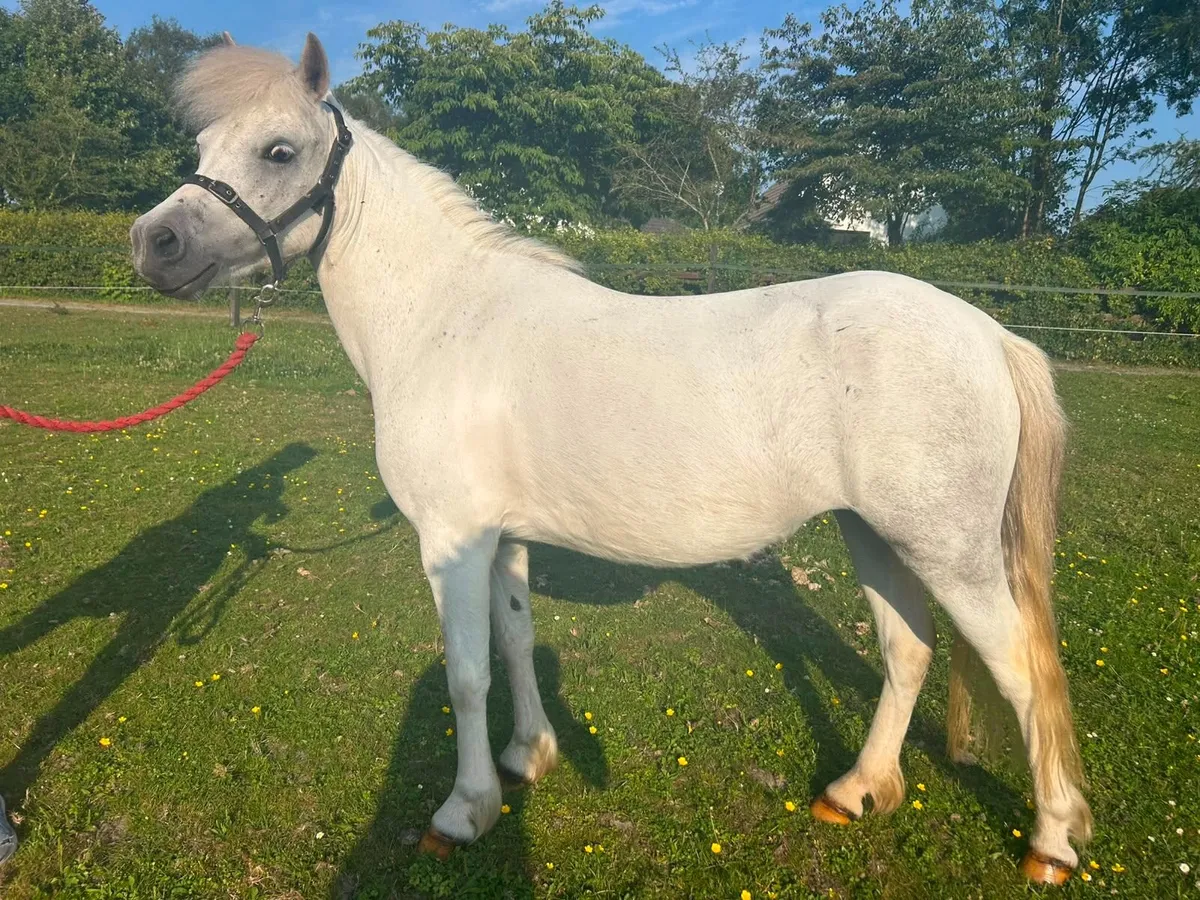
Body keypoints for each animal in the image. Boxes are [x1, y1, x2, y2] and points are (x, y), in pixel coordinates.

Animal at [126, 33, 1092, 885]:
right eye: (202, 146)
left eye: (279, 150)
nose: (152, 243)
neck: (446, 321)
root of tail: (991, 334)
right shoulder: (502, 539)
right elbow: (516, 642)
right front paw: (527, 759)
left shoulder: (452, 543)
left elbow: (466, 674)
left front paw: (464, 811)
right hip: (875, 536)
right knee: (908, 654)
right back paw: (856, 791)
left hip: (951, 555)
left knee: (1022, 674)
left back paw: (1050, 843)